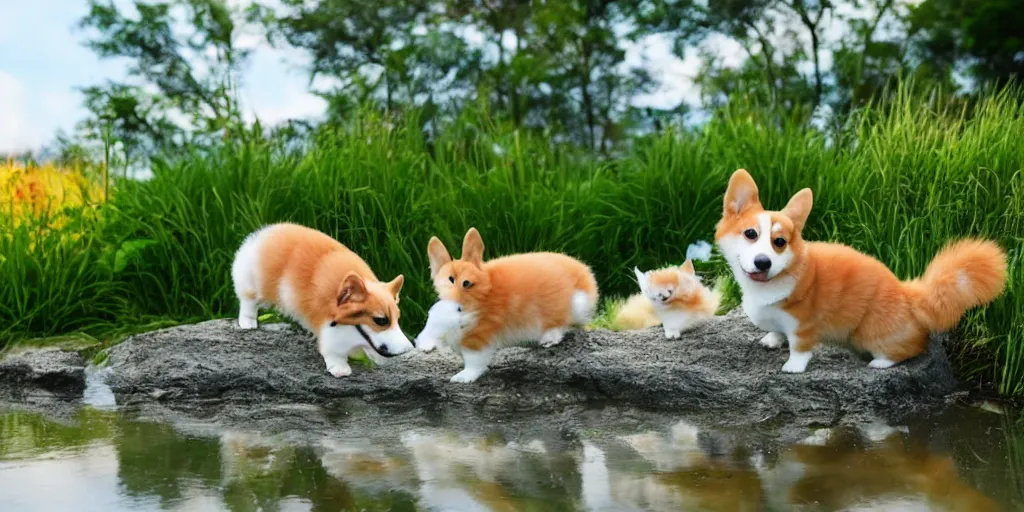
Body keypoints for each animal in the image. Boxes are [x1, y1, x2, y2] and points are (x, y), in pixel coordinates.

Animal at [233, 223, 415, 376]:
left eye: (397, 319)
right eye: (381, 320)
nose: (408, 349)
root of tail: (263, 233)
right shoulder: (329, 331)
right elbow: (334, 351)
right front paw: (340, 369)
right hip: (254, 283)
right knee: (248, 301)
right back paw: (248, 322)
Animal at [425, 229, 598, 385]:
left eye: (467, 283)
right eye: (449, 280)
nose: (456, 307)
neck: (483, 295)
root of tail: (587, 278)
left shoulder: (479, 337)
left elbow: (474, 362)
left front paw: (462, 378)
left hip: (569, 307)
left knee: (563, 324)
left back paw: (548, 339)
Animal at [712, 169, 1007, 374]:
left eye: (780, 242)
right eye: (750, 234)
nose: (763, 262)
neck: (768, 283)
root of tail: (908, 293)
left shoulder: (803, 325)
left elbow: (799, 347)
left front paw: (793, 367)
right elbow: (777, 331)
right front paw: (772, 339)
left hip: (868, 333)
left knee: (910, 348)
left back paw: (881, 363)